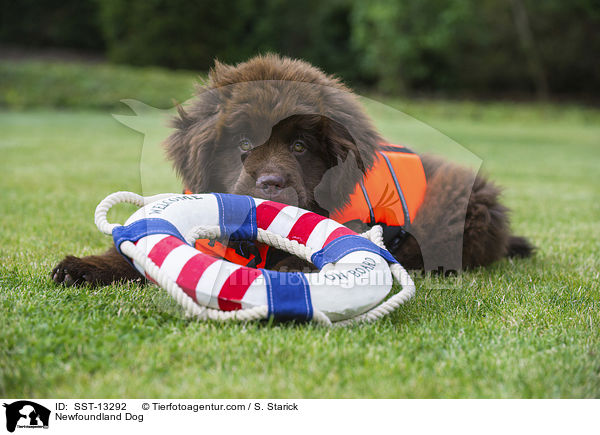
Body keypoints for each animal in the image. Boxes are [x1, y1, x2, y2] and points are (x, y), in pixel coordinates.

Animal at [50, 53, 528, 286]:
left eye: (299, 147)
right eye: (243, 143)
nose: (271, 183)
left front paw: (292, 269)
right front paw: (83, 267)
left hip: (460, 209)